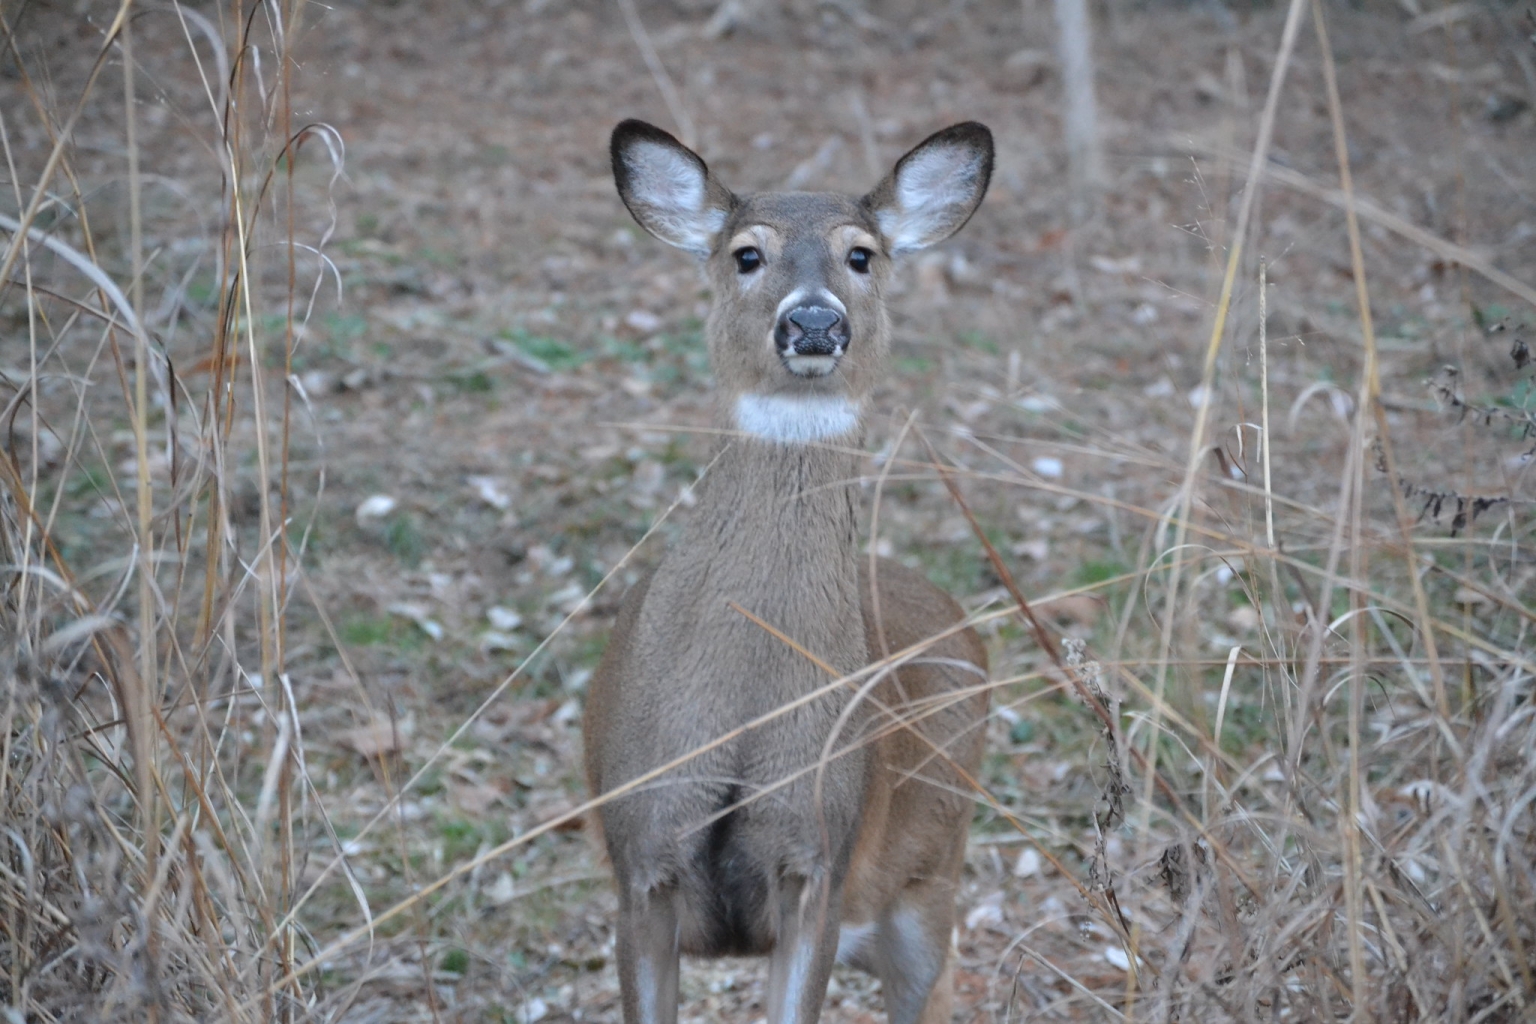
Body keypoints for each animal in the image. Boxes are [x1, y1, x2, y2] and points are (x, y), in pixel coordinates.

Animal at [583, 118, 994, 1024]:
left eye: (860, 254)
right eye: (747, 253)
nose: (811, 321)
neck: (744, 710)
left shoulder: (820, 858)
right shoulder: (640, 857)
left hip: (931, 869)